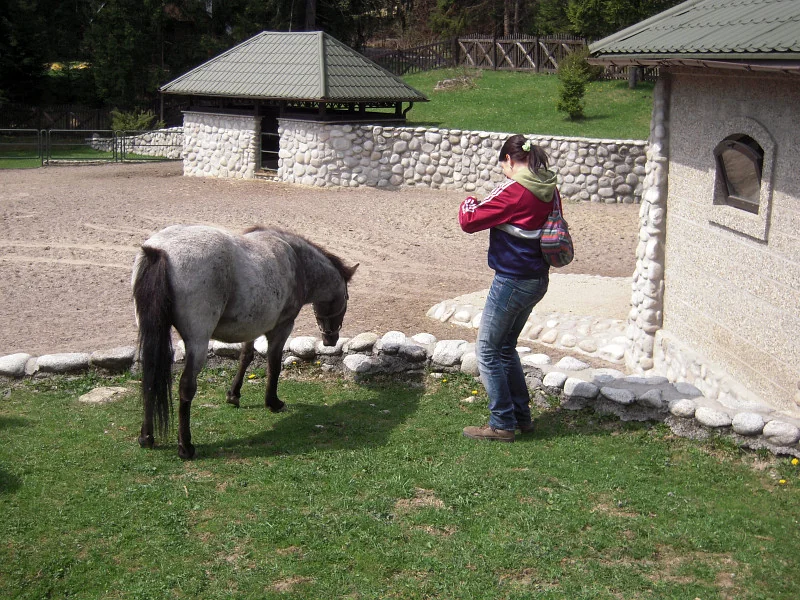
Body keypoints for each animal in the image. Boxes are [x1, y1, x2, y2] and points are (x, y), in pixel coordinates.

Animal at [131, 225, 358, 459]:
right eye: (346, 298)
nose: (331, 339)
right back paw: (185, 446)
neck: (297, 260)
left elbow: (245, 358)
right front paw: (273, 402)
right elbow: (274, 365)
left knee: (150, 377)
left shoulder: (251, 326)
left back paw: (146, 437)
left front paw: (233, 395)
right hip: (197, 342)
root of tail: (160, 250)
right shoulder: (282, 327)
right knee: (186, 386)